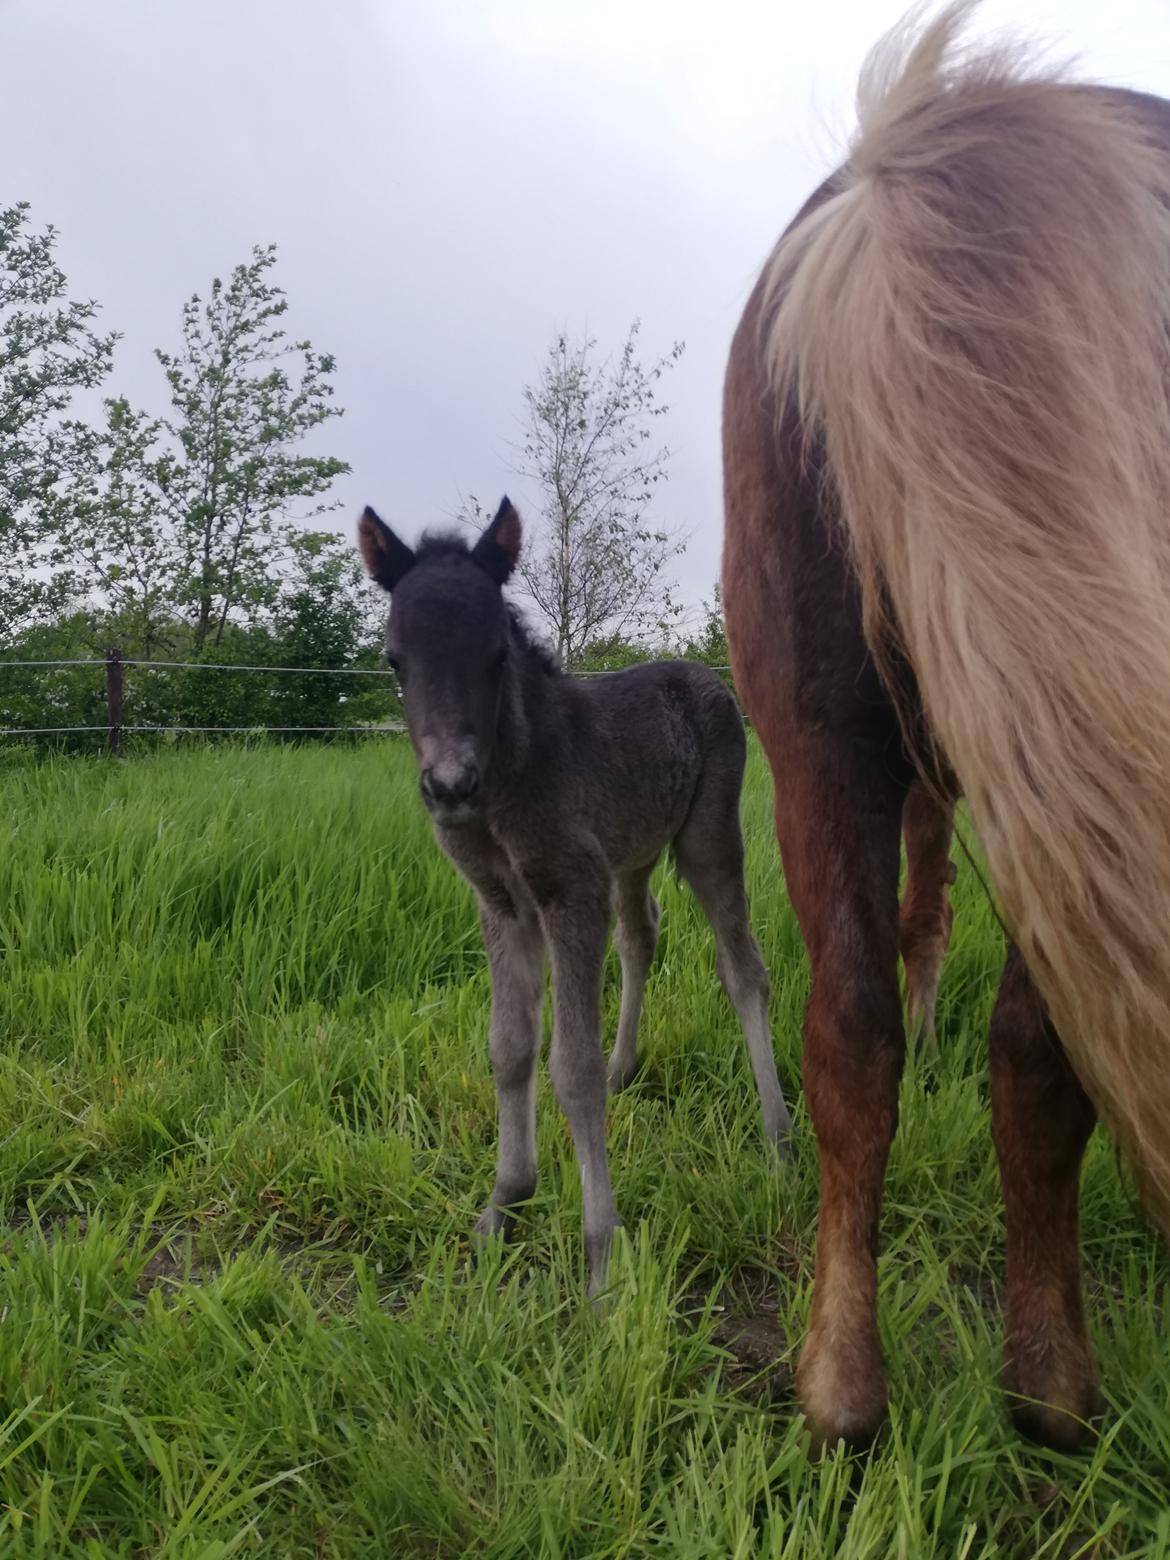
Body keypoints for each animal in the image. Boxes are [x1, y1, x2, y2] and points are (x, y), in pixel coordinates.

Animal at [360, 496, 798, 1291]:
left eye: (497, 656)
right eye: (394, 659)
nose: (450, 786)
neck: (511, 780)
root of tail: (708, 677)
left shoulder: (571, 892)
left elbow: (571, 1064)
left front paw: (601, 1254)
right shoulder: (502, 904)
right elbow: (509, 1048)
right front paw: (504, 1204)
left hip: (708, 839)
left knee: (744, 968)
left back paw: (779, 1138)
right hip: (632, 858)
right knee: (642, 932)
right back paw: (631, 1064)